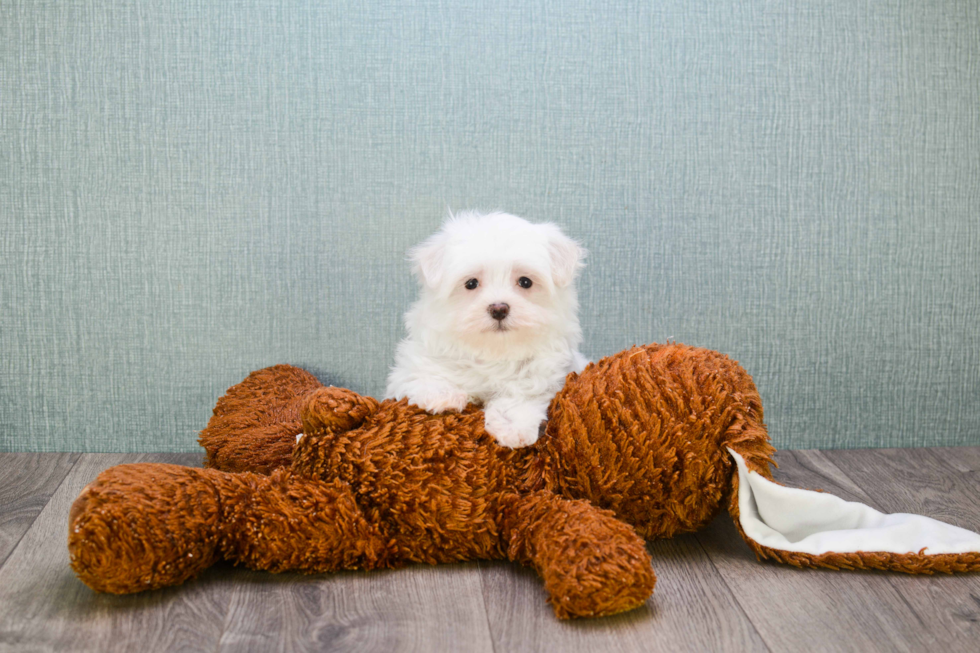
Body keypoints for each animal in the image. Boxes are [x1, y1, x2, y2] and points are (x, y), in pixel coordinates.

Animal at [384, 211, 588, 446]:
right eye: (471, 283)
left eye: (525, 282)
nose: (499, 308)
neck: (493, 351)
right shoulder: (414, 364)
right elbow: (424, 373)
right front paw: (442, 395)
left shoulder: (543, 375)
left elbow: (520, 396)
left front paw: (512, 427)